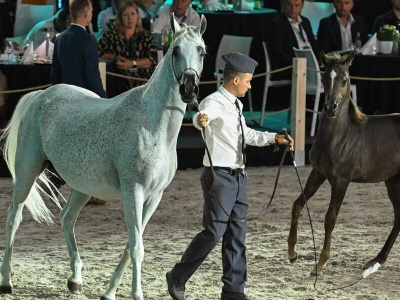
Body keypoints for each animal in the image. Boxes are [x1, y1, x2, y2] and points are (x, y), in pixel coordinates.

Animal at [1, 15, 208, 300]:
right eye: (175, 50)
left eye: (202, 51)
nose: (189, 88)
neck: (152, 124)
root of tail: (40, 96)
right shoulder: (134, 192)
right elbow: (136, 247)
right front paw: (136, 294)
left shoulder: (154, 197)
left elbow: (132, 243)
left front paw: (109, 291)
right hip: (27, 172)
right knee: (14, 216)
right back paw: (6, 281)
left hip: (82, 186)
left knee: (66, 218)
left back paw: (75, 279)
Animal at [288, 51, 400, 276]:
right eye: (324, 78)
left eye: (345, 79)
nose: (330, 107)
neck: (340, 136)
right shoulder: (318, 173)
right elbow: (298, 205)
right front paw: (292, 253)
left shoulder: (342, 181)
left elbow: (330, 218)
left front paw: (320, 264)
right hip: (393, 181)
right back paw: (377, 259)